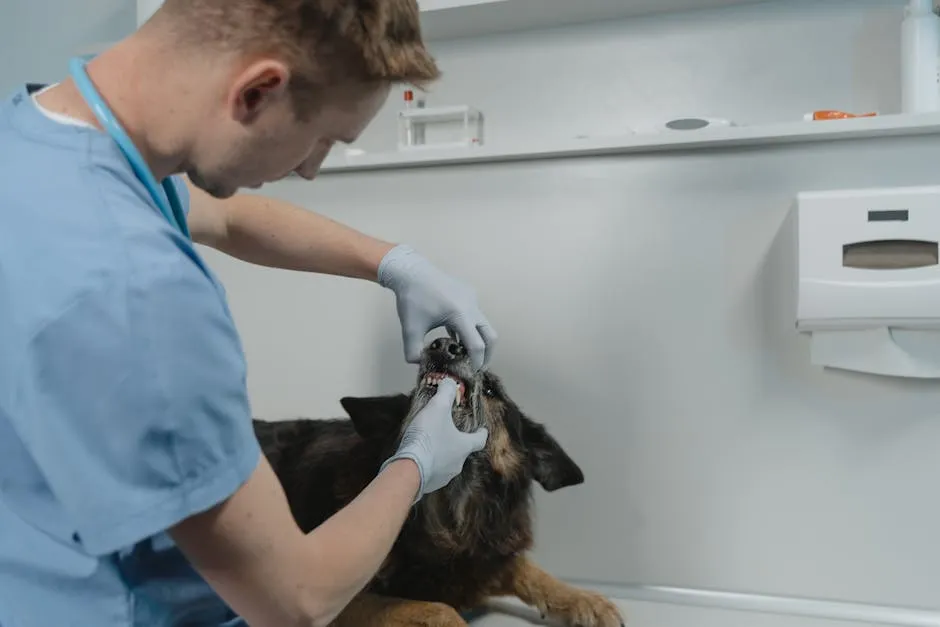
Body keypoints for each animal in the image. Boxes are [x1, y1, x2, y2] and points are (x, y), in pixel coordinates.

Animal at [253, 338, 628, 627]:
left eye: (491, 389)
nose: (443, 344)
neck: (449, 515)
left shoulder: (483, 558)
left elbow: (525, 568)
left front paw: (586, 599)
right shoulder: (339, 602)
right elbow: (438, 609)